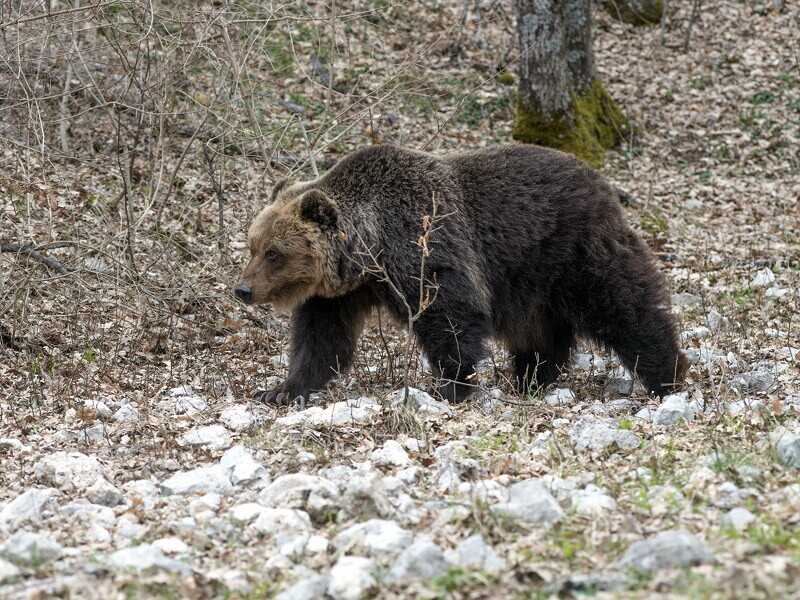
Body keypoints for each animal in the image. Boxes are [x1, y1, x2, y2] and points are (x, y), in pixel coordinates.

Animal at [235, 144, 688, 404]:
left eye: (274, 252)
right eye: (253, 245)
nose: (242, 289)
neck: (371, 249)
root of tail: (599, 178)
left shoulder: (426, 247)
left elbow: (450, 315)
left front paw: (450, 385)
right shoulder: (339, 293)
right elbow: (321, 339)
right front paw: (280, 389)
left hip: (572, 248)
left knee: (623, 302)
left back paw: (666, 372)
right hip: (531, 279)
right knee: (540, 330)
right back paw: (531, 379)